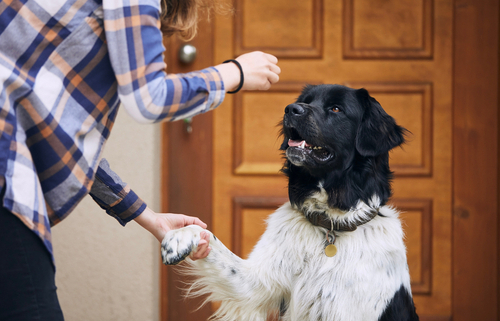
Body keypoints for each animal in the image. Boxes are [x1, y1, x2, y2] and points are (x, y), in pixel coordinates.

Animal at [163, 84, 418, 318]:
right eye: (305, 101)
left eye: (336, 108)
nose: (291, 109)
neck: (329, 225)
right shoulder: (255, 285)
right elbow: (213, 242)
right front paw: (180, 236)